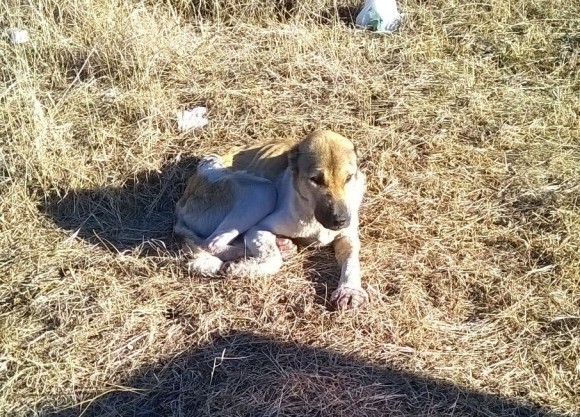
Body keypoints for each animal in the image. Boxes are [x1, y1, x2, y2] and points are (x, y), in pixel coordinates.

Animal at [174, 130, 368, 308]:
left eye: (348, 178)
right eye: (315, 180)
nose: (340, 220)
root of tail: (182, 202)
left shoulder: (348, 237)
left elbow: (352, 259)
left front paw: (350, 290)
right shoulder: (258, 229)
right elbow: (273, 259)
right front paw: (242, 268)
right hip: (263, 191)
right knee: (211, 243)